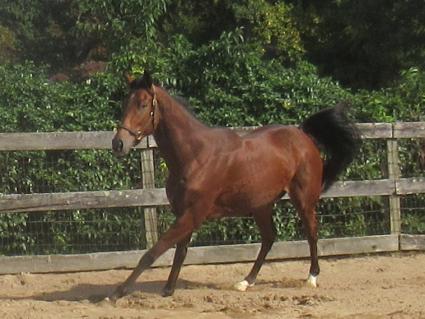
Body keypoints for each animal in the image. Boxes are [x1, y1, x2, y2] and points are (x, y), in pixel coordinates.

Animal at [111, 71, 360, 302]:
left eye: (143, 104)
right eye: (124, 104)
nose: (118, 144)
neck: (195, 156)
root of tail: (302, 134)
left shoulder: (192, 214)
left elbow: (154, 251)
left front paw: (118, 292)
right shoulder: (184, 213)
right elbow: (180, 252)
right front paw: (168, 290)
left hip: (303, 200)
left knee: (311, 233)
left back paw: (311, 277)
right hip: (261, 206)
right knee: (269, 238)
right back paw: (245, 282)